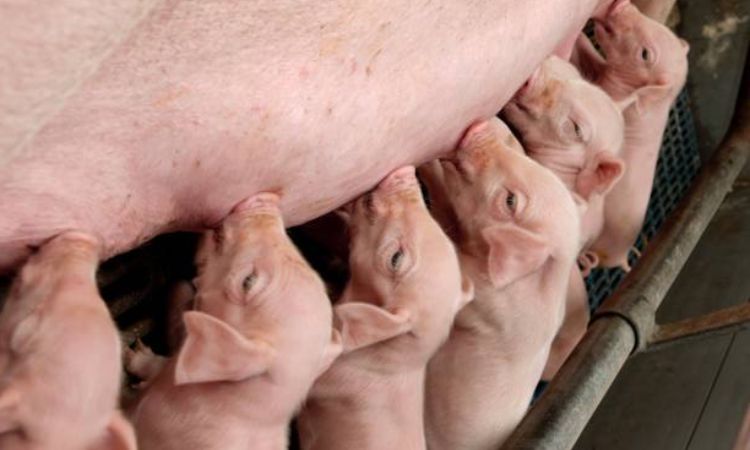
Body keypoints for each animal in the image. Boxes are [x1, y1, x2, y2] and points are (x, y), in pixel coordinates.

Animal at [574, 1, 689, 270]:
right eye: (657, 25)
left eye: (645, 54)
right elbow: (587, 55)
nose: (623, 6)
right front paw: (580, 36)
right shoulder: (601, 71)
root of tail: (622, 257)